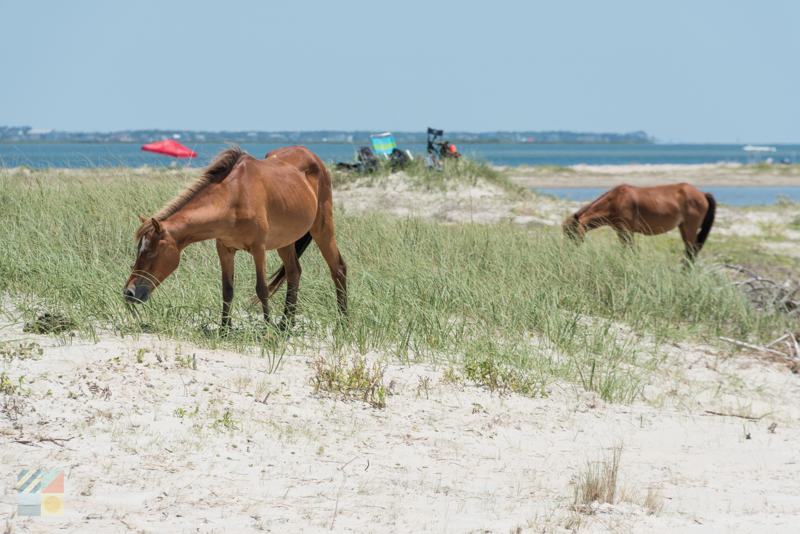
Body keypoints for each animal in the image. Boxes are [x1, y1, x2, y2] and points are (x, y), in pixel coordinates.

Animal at [122, 146, 346, 330]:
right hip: (286, 241)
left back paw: (343, 323)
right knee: (294, 273)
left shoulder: (258, 249)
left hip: (323, 228)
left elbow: (261, 289)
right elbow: (227, 289)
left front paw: (268, 333)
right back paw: (285, 325)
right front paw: (224, 330)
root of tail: (314, 158)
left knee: (338, 268)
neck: (235, 195)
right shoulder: (225, 249)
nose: (129, 292)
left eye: (152, 253)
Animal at [564, 183, 716, 262]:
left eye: (570, 233)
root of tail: (702, 194)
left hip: (690, 229)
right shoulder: (622, 231)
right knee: (690, 251)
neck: (615, 201)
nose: (567, 252)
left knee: (692, 251)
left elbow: (629, 251)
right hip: (683, 228)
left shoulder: (626, 231)